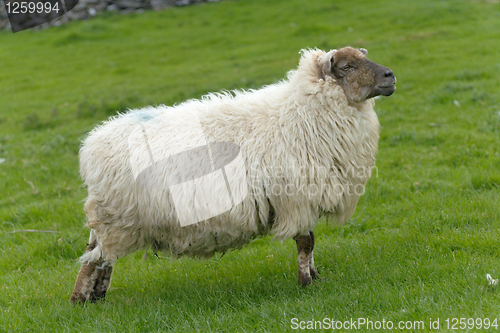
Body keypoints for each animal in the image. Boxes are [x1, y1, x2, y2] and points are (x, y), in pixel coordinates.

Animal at [70, 46, 396, 304]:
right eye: (347, 66)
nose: (390, 76)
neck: (300, 114)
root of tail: (91, 145)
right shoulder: (295, 197)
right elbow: (305, 243)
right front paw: (306, 283)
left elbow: (311, 241)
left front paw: (315, 277)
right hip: (117, 217)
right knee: (98, 257)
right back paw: (81, 300)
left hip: (112, 217)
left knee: (98, 254)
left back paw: (95, 297)